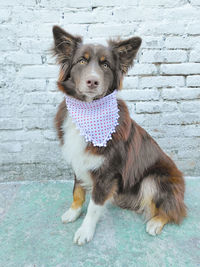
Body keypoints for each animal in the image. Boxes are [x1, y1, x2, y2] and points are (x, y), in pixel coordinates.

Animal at [51, 26, 186, 246]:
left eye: (105, 64)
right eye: (81, 61)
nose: (92, 81)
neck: (89, 111)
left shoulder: (107, 173)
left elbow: (94, 206)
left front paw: (85, 230)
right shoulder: (79, 160)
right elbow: (77, 191)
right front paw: (73, 212)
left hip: (154, 179)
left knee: (174, 210)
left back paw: (156, 222)